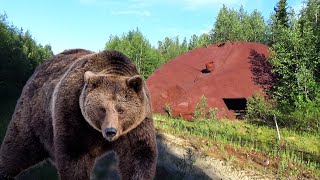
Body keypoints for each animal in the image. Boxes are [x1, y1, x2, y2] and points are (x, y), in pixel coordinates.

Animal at [0, 48, 158, 179]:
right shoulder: (74, 113)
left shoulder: (137, 125)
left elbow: (139, 154)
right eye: (102, 108)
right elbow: (74, 155)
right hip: (34, 114)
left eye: (121, 110)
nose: (110, 131)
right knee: (17, 148)